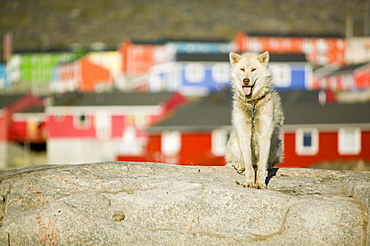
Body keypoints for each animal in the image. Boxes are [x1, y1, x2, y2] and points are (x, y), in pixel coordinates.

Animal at [225, 52, 284, 189]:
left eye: (253, 69)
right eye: (242, 69)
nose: (245, 80)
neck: (252, 103)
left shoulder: (265, 136)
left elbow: (261, 166)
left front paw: (260, 183)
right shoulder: (244, 135)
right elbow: (248, 165)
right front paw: (249, 182)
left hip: (276, 144)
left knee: (269, 162)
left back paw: (268, 166)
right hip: (234, 141)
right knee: (233, 160)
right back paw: (238, 165)